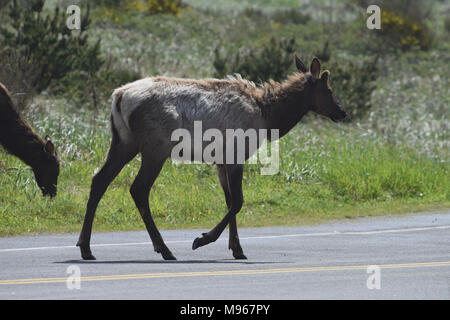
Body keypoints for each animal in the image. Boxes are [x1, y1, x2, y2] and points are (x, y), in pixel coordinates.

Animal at [77, 55, 346, 260]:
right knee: (138, 189)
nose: (342, 112)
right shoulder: (237, 153)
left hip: (124, 142)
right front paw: (203, 238)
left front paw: (237, 249)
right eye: (328, 89)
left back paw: (86, 247)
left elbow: (229, 201)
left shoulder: (222, 161)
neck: (268, 117)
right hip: (155, 147)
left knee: (99, 180)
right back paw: (164, 249)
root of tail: (118, 97)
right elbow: (238, 201)